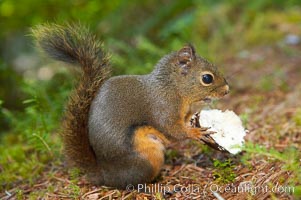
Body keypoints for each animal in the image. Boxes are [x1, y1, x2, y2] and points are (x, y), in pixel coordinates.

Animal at [32, 23, 227, 189]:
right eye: (207, 78)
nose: (227, 90)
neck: (172, 87)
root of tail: (106, 176)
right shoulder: (164, 106)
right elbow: (172, 129)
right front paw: (195, 132)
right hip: (148, 157)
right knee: (134, 182)